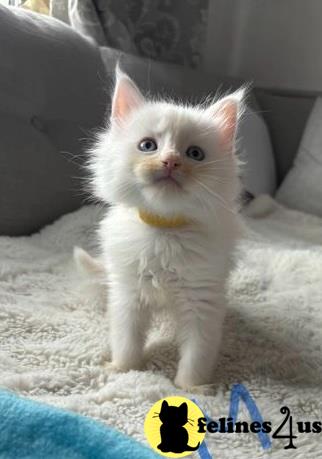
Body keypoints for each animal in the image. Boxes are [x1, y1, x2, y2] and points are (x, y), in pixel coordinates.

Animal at [88, 69, 244, 392]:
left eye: (195, 153)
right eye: (148, 146)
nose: (170, 161)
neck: (164, 230)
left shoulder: (203, 300)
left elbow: (197, 352)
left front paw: (191, 388)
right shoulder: (127, 295)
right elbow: (126, 339)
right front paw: (123, 369)